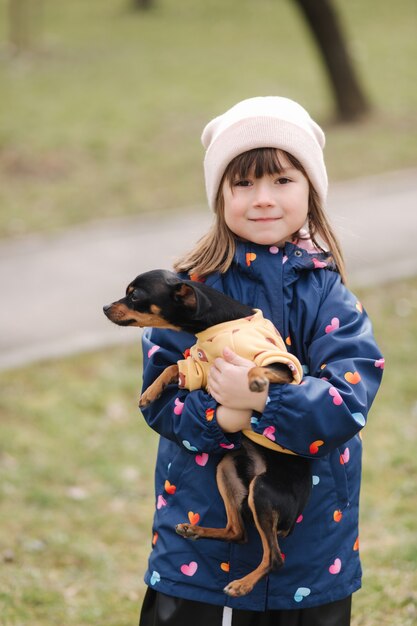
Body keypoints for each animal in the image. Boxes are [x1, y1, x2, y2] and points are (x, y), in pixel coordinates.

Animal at [103, 268, 310, 596]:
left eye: (134, 296)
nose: (105, 308)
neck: (218, 323)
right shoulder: (200, 369)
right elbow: (174, 367)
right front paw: (150, 391)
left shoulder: (280, 365)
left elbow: (256, 368)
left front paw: (253, 381)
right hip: (227, 471)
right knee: (238, 532)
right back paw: (195, 528)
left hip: (262, 491)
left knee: (275, 558)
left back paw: (242, 584)